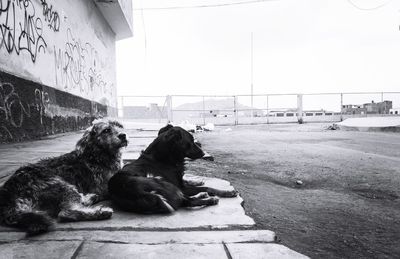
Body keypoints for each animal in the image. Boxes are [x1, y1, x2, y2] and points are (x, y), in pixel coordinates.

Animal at [108, 125, 236, 214]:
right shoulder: (181, 187)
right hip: (160, 181)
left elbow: (189, 181)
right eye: (191, 140)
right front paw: (227, 192)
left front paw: (197, 181)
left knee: (185, 200)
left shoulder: (180, 183)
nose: (203, 153)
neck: (163, 158)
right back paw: (210, 199)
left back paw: (202, 195)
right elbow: (208, 187)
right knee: (188, 201)